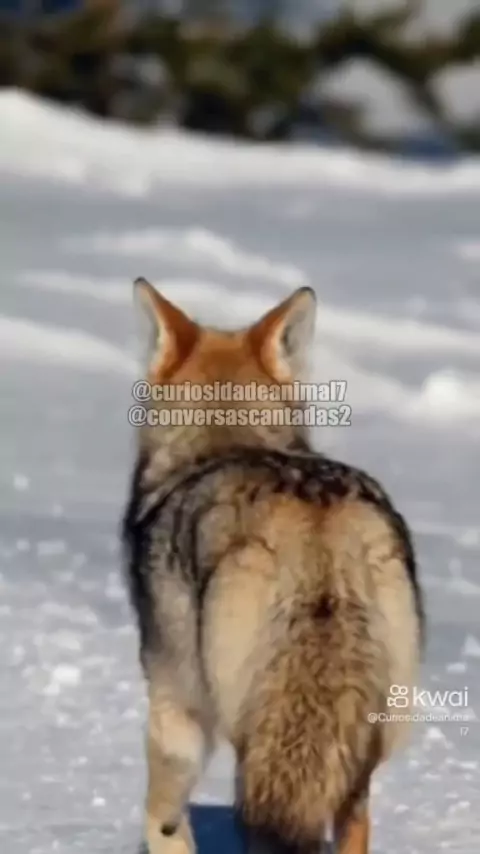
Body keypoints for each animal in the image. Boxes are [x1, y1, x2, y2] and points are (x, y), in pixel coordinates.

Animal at [122, 280, 425, 854]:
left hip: (254, 740)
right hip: (361, 745)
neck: (225, 440)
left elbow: (161, 819)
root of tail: (319, 523)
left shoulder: (174, 702)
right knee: (353, 822)